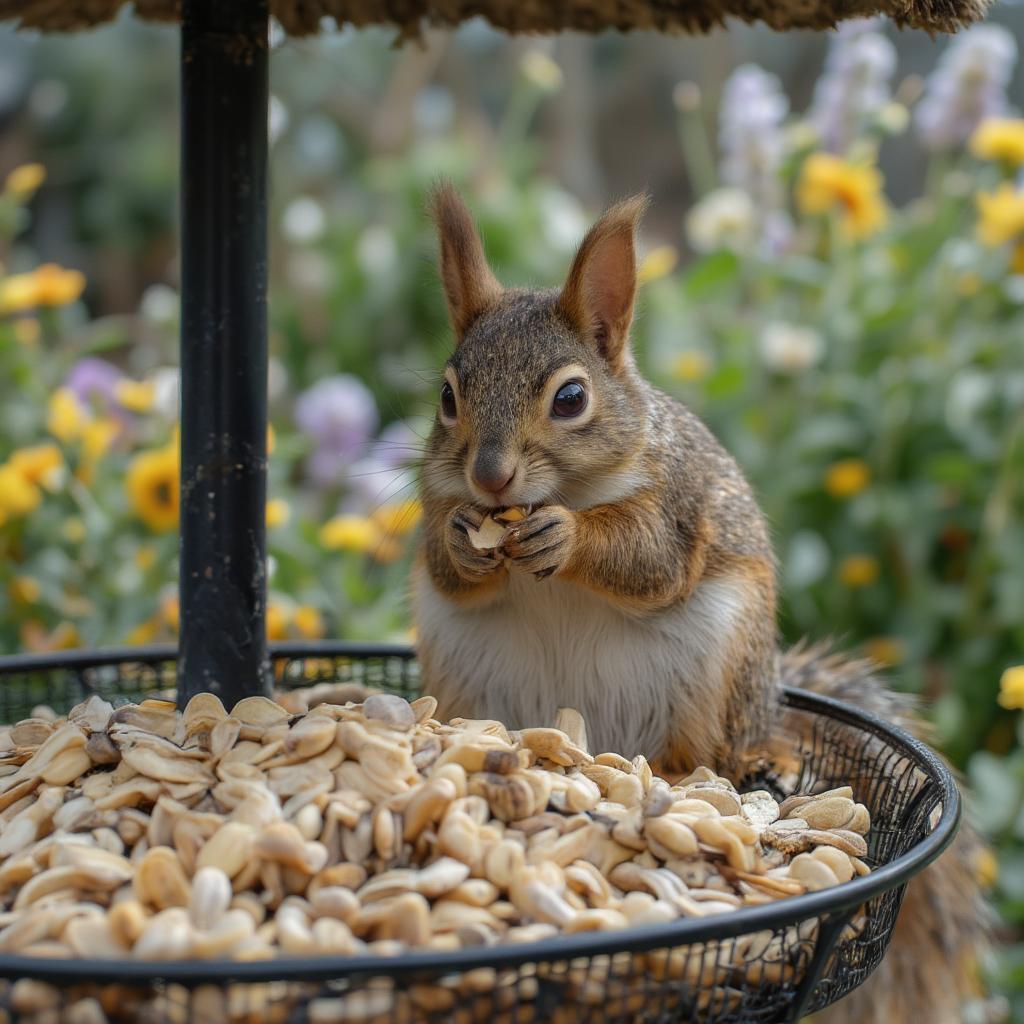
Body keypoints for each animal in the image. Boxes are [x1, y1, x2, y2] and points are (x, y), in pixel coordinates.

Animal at [411, 186, 987, 1024]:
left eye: (572, 398)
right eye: (447, 397)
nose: (488, 477)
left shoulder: (676, 503)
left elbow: (648, 560)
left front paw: (569, 535)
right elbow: (447, 563)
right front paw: (462, 541)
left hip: (714, 670)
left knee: (706, 754)